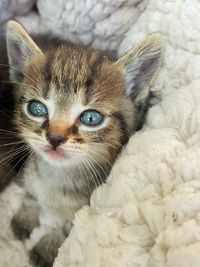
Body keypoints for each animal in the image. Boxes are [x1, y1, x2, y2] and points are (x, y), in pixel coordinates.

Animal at [4, 21, 162, 267]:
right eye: (37, 109)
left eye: (90, 117)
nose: (54, 137)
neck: (58, 176)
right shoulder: (30, 166)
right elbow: (30, 192)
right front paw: (26, 214)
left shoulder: (87, 205)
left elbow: (68, 229)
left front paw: (47, 248)